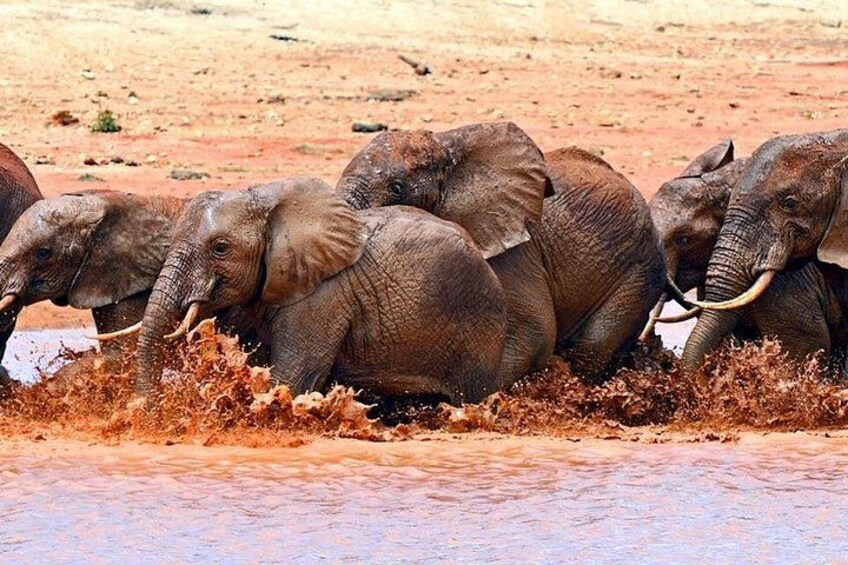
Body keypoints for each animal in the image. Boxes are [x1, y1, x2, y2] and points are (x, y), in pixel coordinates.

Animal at [134, 178, 509, 404]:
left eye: (220, 248)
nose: (146, 409)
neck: (269, 202)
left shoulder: (322, 299)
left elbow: (290, 380)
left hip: (477, 328)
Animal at [336, 121, 666, 383]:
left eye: (396, 188)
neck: (448, 147)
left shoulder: (515, 252)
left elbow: (537, 331)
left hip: (639, 271)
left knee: (592, 346)